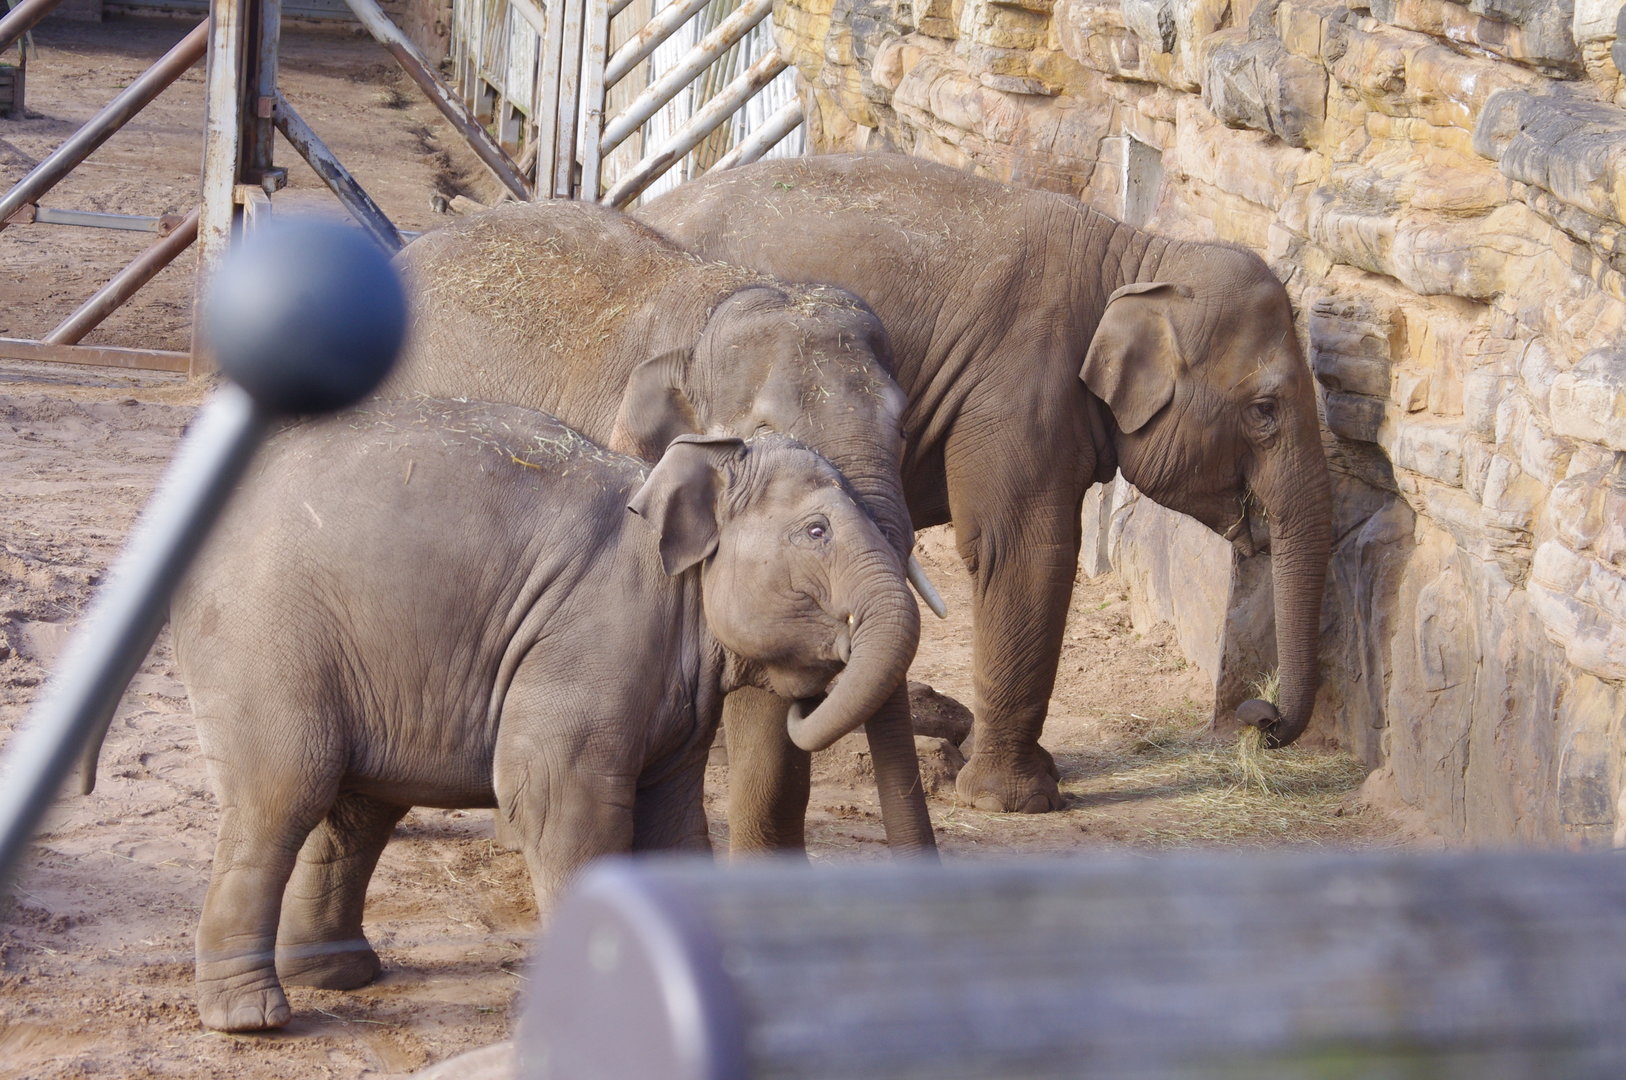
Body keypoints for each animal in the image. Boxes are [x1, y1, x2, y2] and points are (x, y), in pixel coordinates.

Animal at [171, 399, 919, 1032]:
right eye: (816, 531)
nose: (811, 692)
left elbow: (672, 817)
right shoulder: (593, 638)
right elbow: (558, 802)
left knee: (357, 812)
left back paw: (338, 975)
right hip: (261, 641)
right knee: (284, 792)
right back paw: (252, 1019)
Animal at [639, 152, 1333, 815]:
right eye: (1265, 410)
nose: (1258, 717)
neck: (1139, 253)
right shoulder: (1017, 387)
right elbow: (1024, 550)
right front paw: (1017, 800)